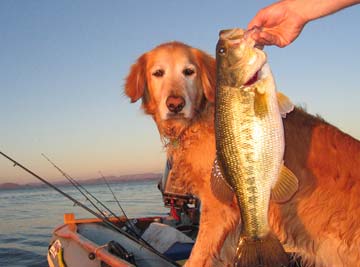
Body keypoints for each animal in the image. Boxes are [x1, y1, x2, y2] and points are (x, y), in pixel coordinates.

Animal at [124, 40, 360, 266]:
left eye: (189, 71)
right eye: (158, 73)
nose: (175, 104)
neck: (199, 118)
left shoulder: (218, 207)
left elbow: (197, 256)